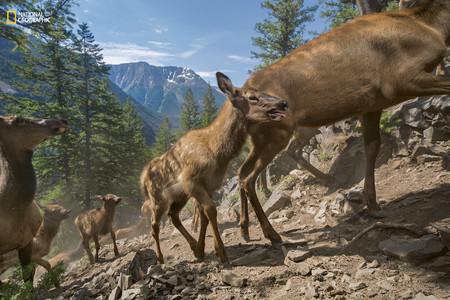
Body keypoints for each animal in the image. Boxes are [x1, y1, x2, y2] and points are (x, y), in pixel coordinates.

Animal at [141, 72, 288, 262]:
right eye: (252, 97)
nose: (283, 102)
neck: (217, 153)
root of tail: (142, 179)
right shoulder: (191, 181)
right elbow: (211, 210)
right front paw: (221, 253)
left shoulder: (209, 185)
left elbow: (204, 216)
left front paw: (203, 248)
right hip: (157, 198)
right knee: (154, 225)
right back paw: (160, 258)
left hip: (179, 196)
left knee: (173, 216)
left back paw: (193, 247)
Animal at [234, 0, 450, 244]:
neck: (435, 28)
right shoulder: (402, 80)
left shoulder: (373, 105)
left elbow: (372, 147)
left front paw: (372, 203)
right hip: (278, 134)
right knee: (250, 176)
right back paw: (271, 233)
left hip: (263, 139)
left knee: (242, 171)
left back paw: (245, 228)